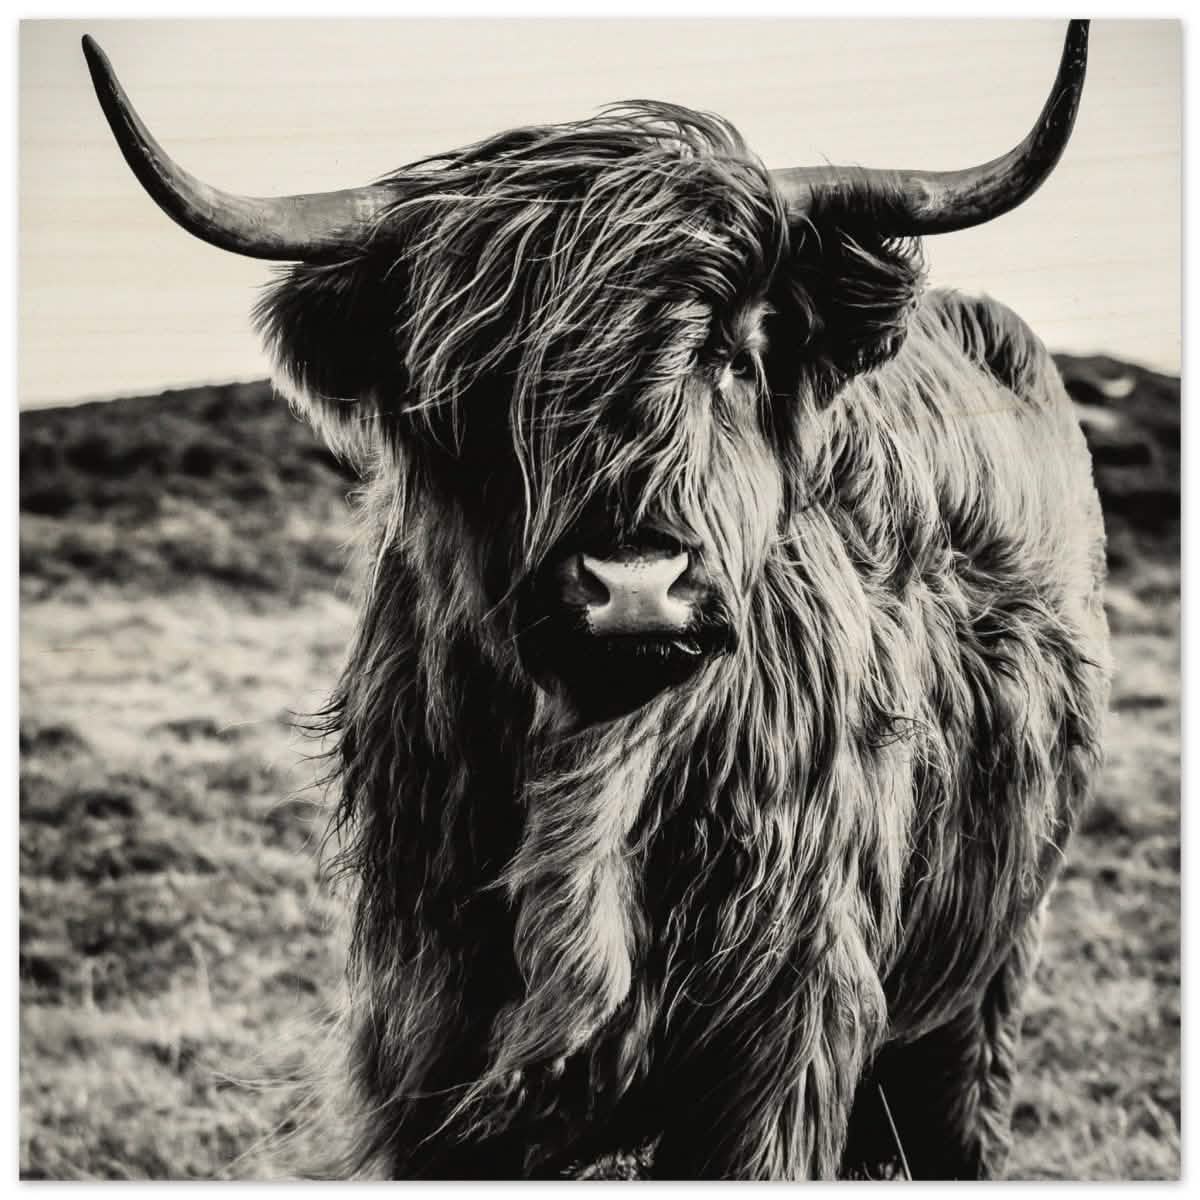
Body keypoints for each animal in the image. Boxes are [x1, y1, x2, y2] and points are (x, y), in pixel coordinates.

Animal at [83, 21, 1109, 1181]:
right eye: (482, 383)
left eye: (732, 354)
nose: (635, 587)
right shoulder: (430, 1041)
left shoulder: (782, 1039)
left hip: (989, 973)